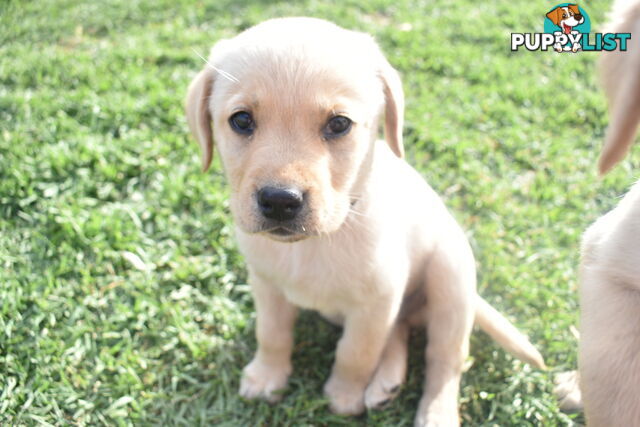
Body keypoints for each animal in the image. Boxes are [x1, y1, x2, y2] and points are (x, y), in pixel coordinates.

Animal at [185, 17, 544, 427]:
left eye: (339, 124)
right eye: (241, 120)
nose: (279, 201)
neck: (313, 245)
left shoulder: (376, 302)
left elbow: (356, 353)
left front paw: (344, 395)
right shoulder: (267, 285)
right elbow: (272, 334)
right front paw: (266, 377)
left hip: (451, 280)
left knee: (445, 359)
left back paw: (434, 410)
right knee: (400, 330)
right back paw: (386, 384)